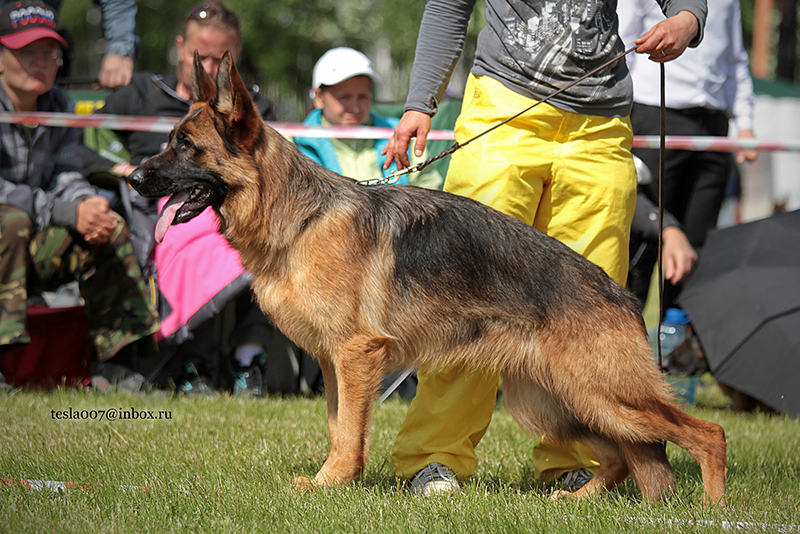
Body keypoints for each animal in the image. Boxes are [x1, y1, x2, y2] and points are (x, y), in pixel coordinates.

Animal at [128, 52, 728, 504]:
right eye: (170, 140)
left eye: (186, 146)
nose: (131, 179)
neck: (300, 218)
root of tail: (620, 293)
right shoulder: (335, 363)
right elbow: (338, 427)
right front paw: (333, 483)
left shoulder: (355, 356)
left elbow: (348, 433)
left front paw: (329, 485)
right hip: (555, 402)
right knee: (621, 458)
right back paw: (577, 500)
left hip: (602, 392)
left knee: (706, 433)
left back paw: (710, 509)